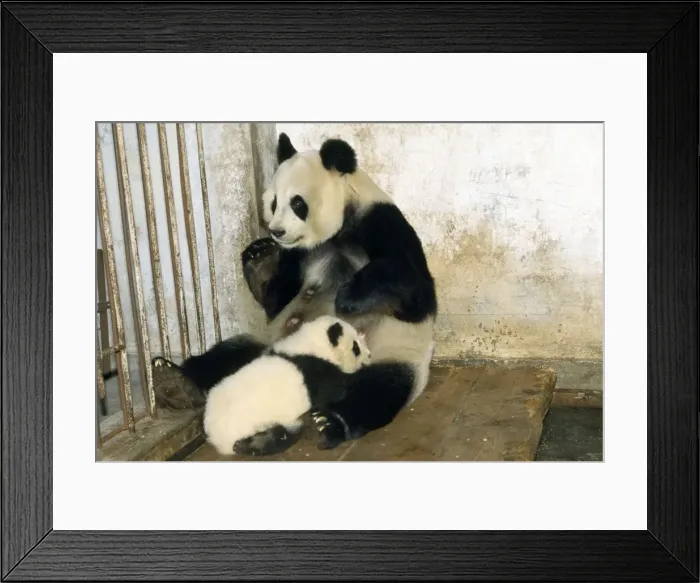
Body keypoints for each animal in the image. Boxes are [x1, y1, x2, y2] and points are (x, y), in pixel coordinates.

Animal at [203, 315, 371, 456]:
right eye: (355, 347)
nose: (369, 355)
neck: (313, 346)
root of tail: (217, 438)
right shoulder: (315, 373)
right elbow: (334, 391)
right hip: (260, 421)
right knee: (282, 436)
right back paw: (254, 445)